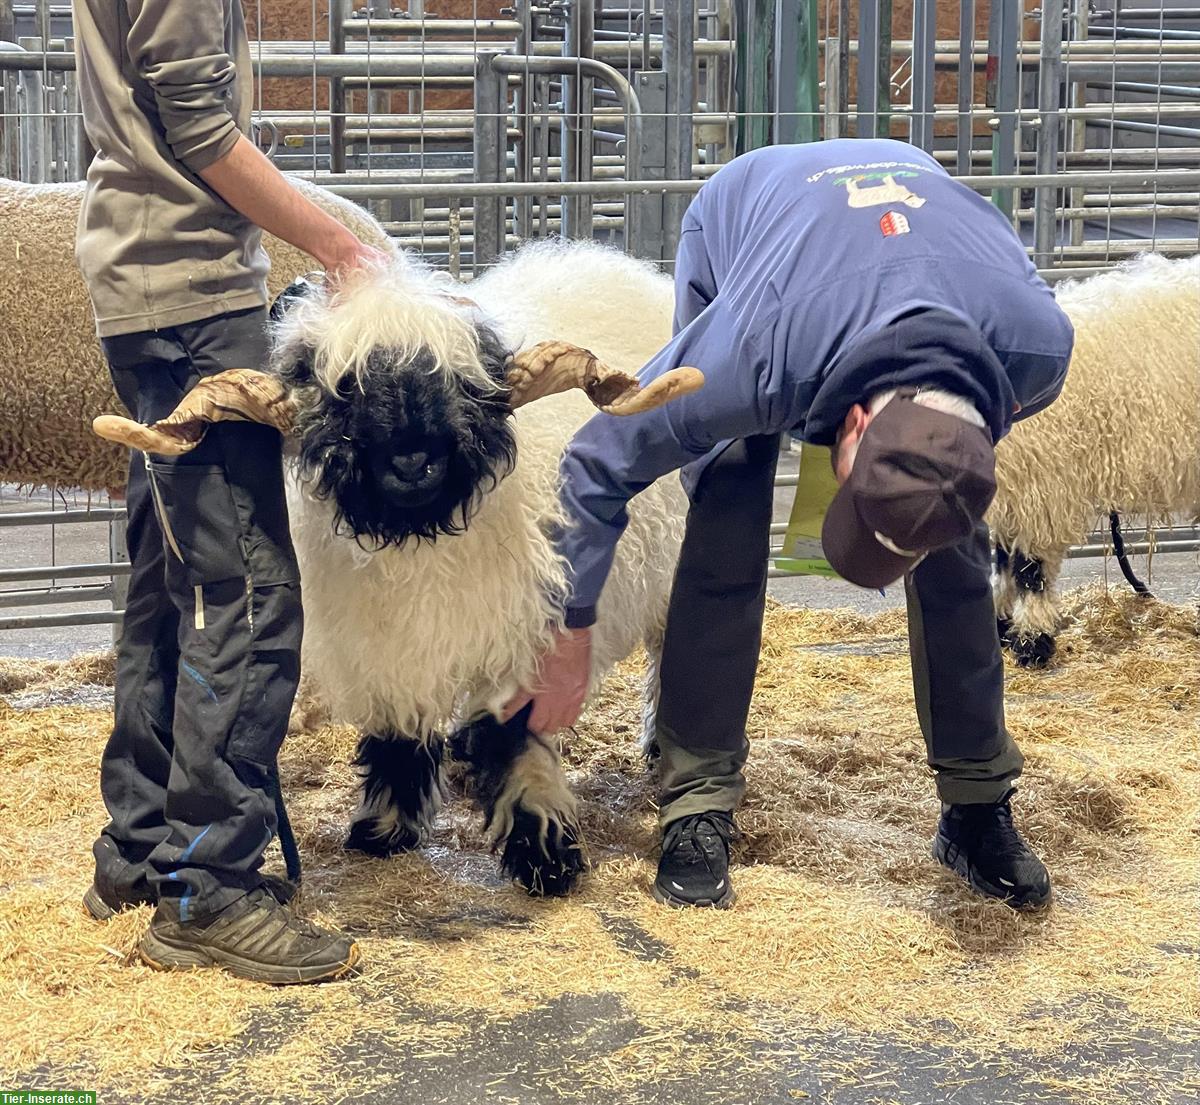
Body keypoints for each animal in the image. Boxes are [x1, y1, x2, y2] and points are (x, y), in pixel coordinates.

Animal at [96, 241, 700, 897]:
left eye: (466, 383)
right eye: (341, 390)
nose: (413, 460)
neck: (417, 540)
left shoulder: (527, 638)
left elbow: (517, 741)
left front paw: (544, 857)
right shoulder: (387, 646)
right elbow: (398, 735)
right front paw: (383, 830)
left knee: (667, 656)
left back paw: (655, 746)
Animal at [988, 254, 1195, 667]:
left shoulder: (1043, 489)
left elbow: (1030, 570)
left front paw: (1032, 641)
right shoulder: (1013, 492)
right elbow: (1003, 562)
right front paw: (1002, 626)